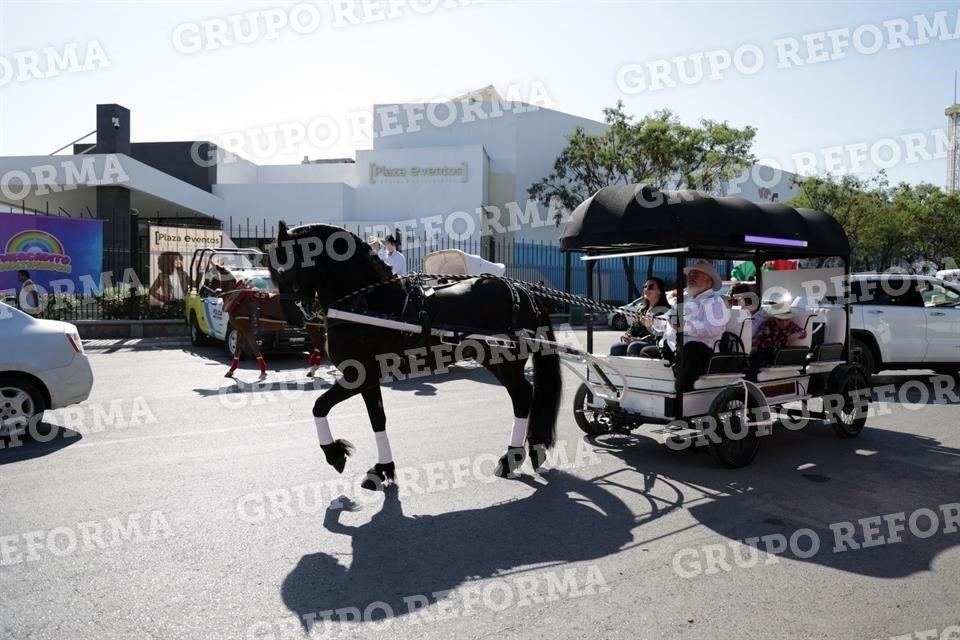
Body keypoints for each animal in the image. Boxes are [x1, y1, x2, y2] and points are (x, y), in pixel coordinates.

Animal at [268, 221, 564, 490]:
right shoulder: (368, 378)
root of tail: (524, 292)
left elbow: (319, 406)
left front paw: (334, 453)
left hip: (503, 360)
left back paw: (512, 457)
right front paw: (382, 469)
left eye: (288, 266)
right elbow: (377, 419)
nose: (292, 316)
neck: (366, 302)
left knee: (522, 396)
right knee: (523, 396)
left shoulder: (357, 375)